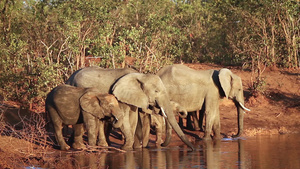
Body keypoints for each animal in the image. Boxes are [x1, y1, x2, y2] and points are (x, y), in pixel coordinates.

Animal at [66, 66, 195, 151]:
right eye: (156, 91)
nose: (193, 149)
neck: (140, 76)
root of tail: (69, 78)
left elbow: (134, 118)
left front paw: (135, 148)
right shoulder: (118, 96)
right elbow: (125, 118)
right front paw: (127, 148)